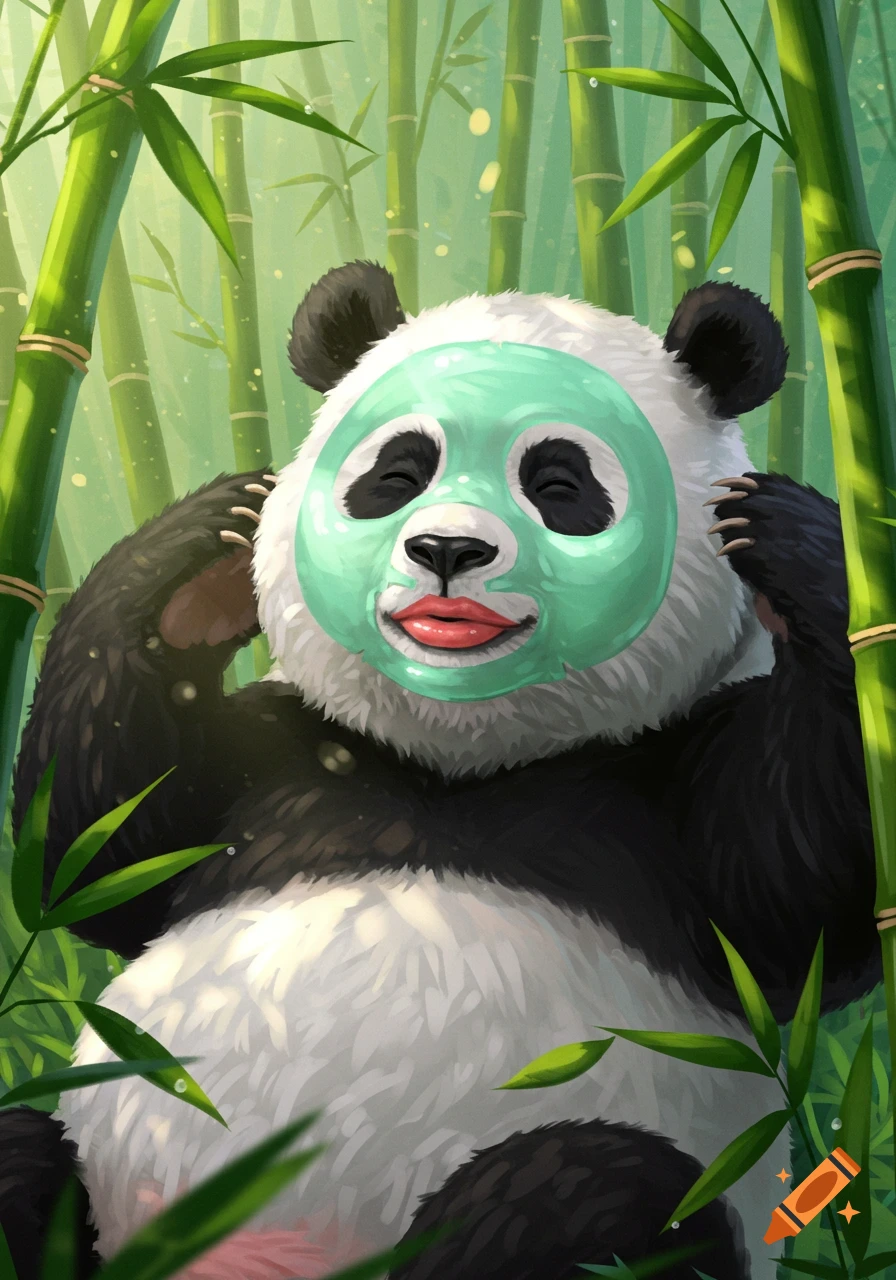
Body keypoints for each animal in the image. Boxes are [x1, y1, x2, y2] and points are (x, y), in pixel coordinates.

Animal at [0, 262, 880, 1280]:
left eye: (560, 483)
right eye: (397, 473)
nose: (448, 549)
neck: (459, 762)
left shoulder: (671, 782)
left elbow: (804, 900)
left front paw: (788, 540)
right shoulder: (284, 753)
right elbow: (97, 852)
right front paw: (198, 557)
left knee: (594, 1196)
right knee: (22, 1157)